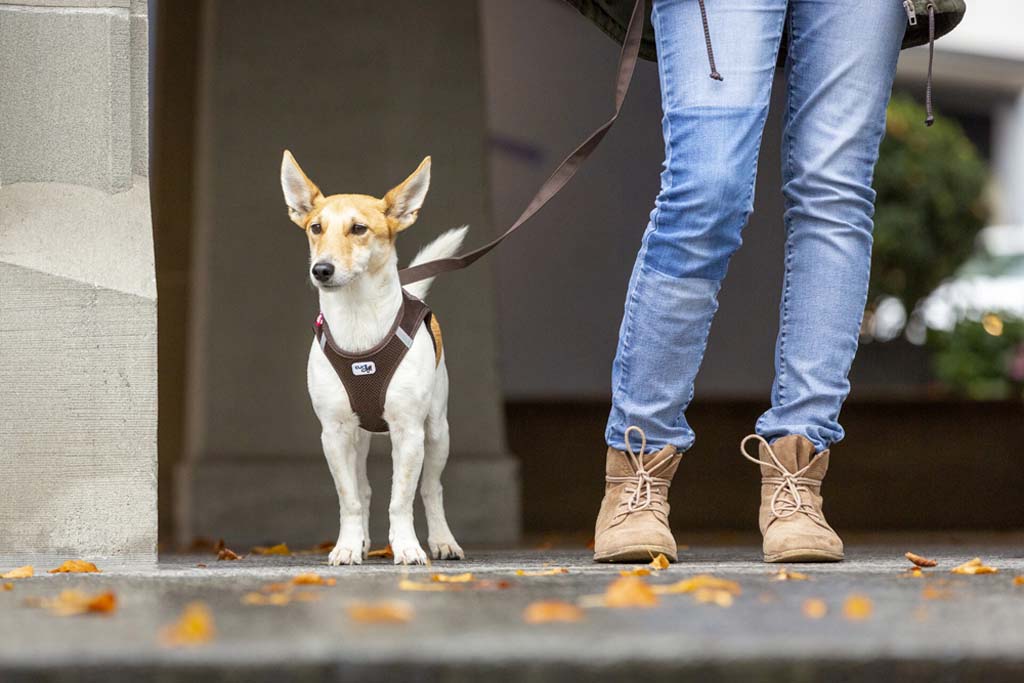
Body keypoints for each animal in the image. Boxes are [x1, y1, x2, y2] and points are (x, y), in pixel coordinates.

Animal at [282, 152, 468, 569]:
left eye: (359, 229)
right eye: (315, 227)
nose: (321, 269)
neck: (358, 321)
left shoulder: (409, 431)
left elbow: (402, 499)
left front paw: (408, 547)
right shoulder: (334, 433)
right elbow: (350, 498)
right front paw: (348, 546)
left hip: (438, 431)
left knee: (431, 489)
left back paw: (443, 541)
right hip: (358, 438)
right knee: (364, 489)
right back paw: (363, 541)